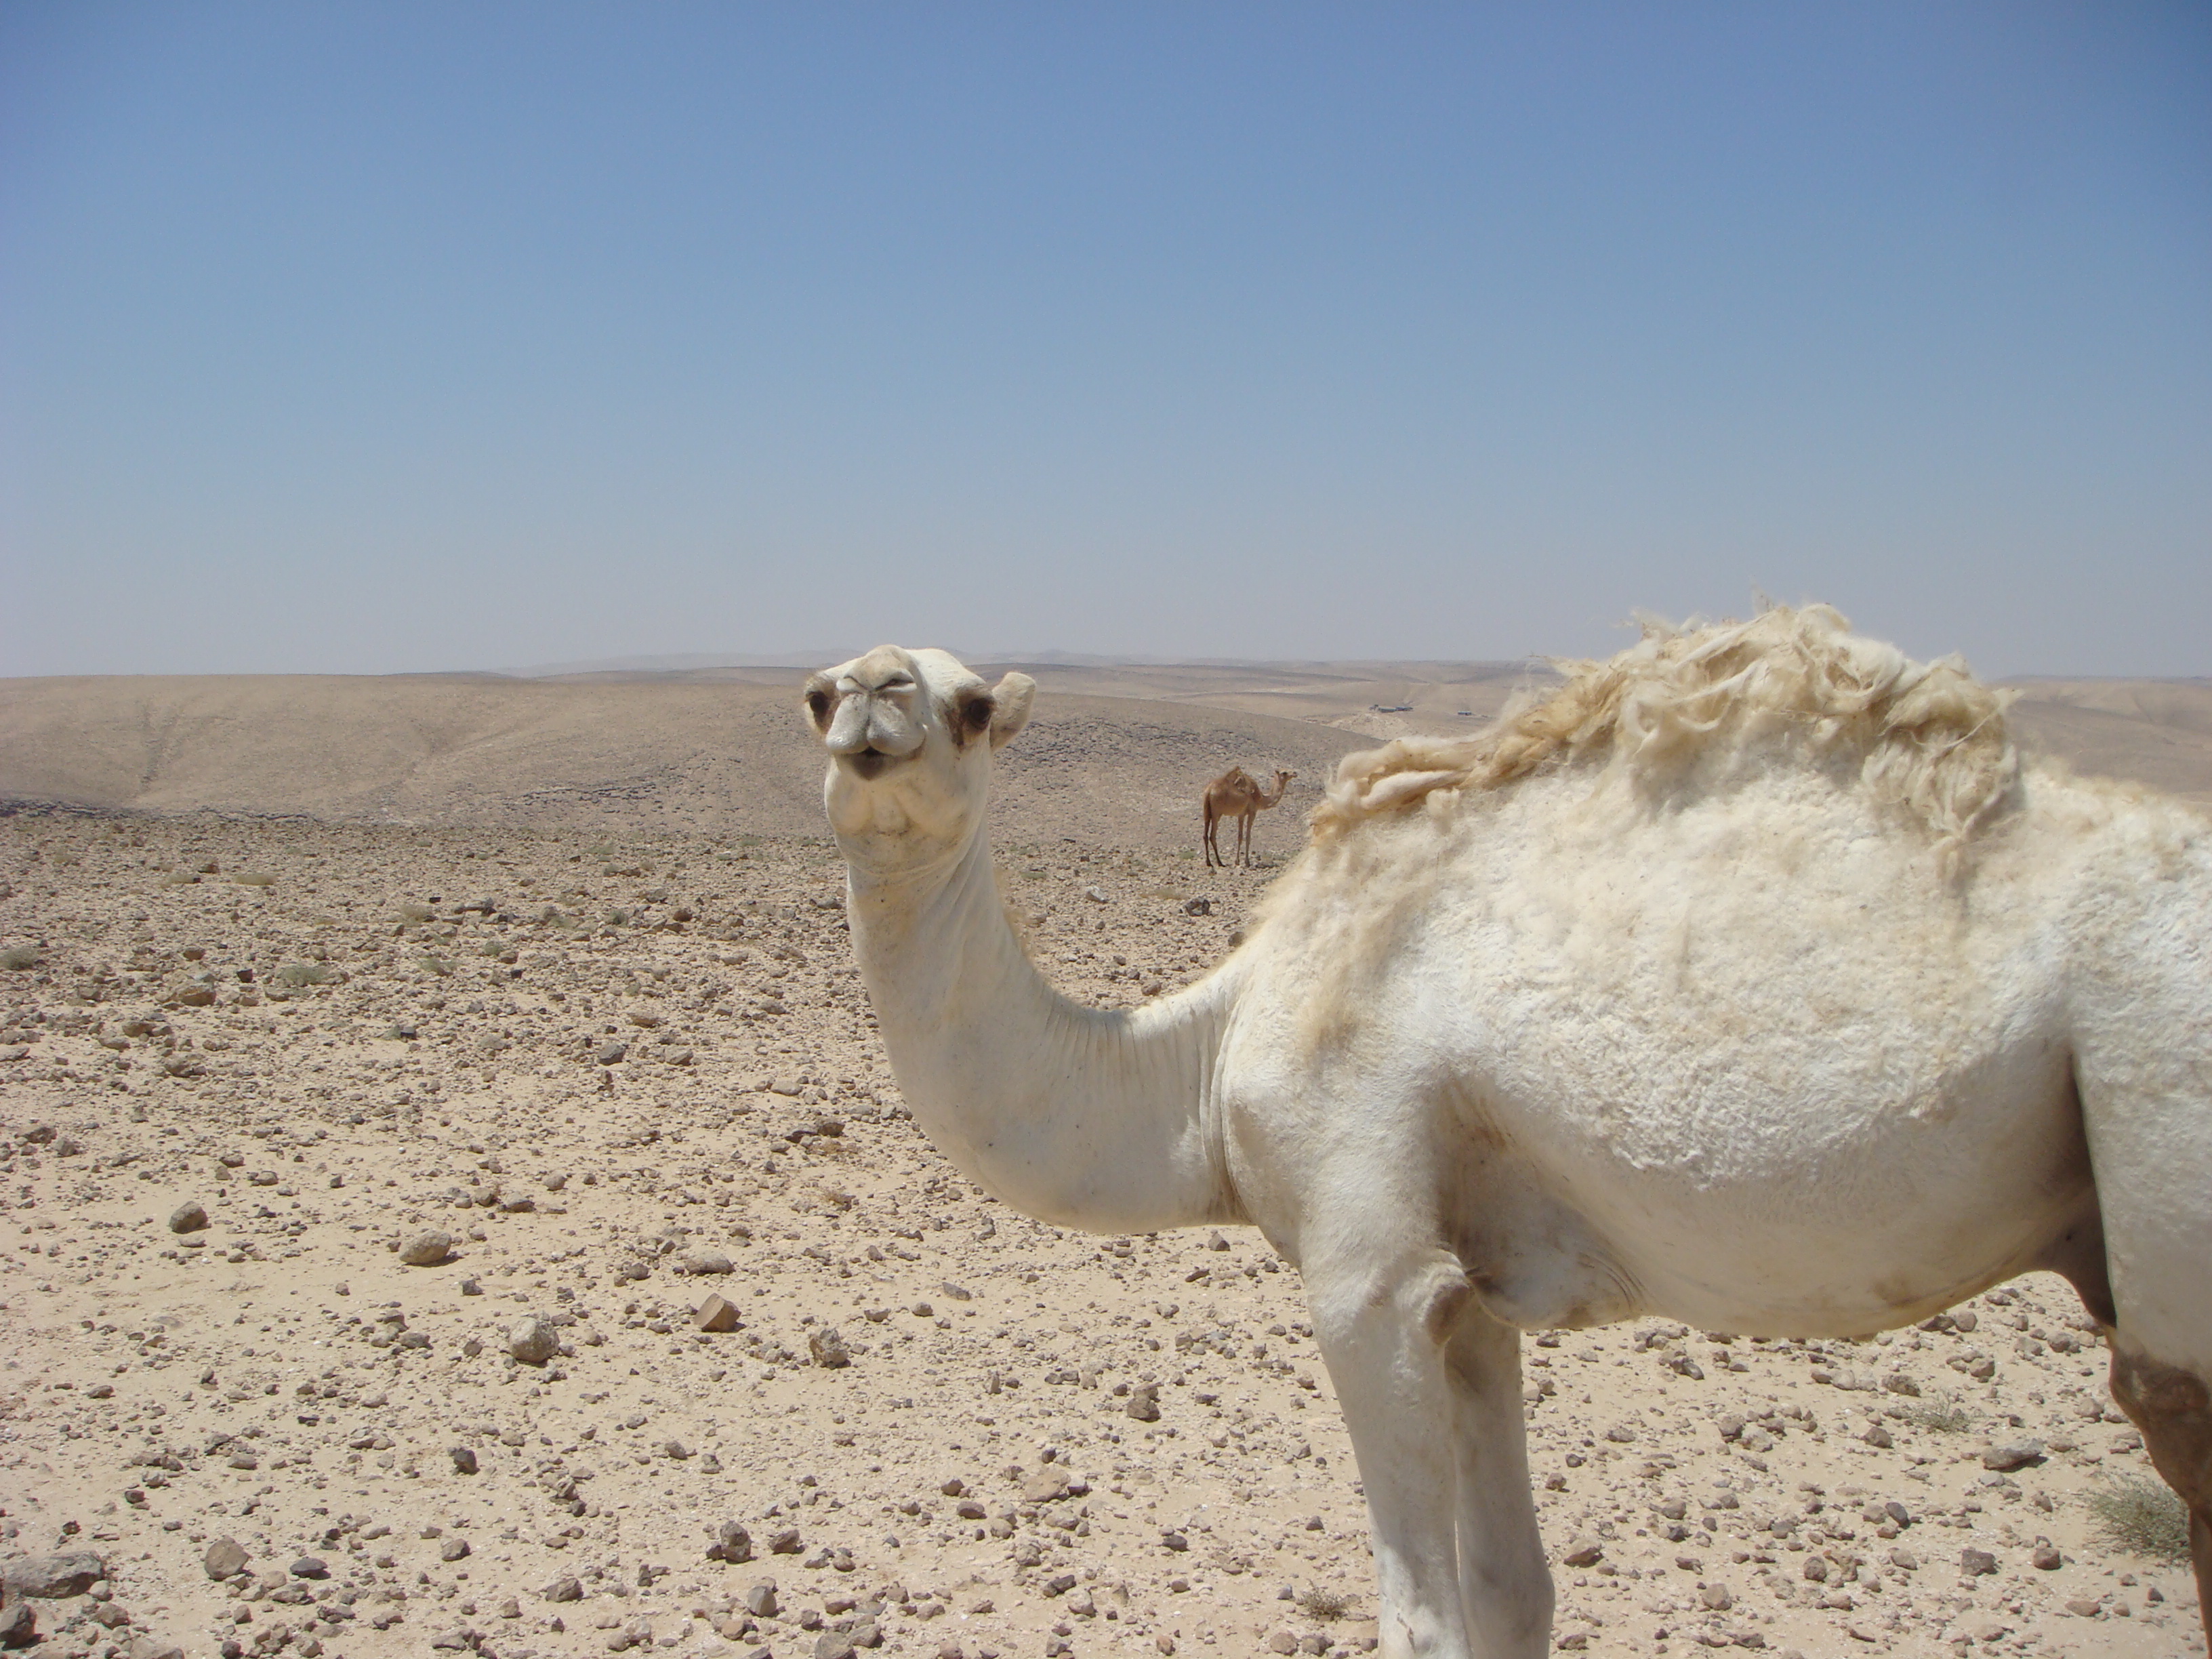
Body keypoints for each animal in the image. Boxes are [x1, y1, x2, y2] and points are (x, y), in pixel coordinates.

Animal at [1202, 764, 1297, 867]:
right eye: (1284, 773)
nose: (1295, 773)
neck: (1260, 798)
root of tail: (1209, 790)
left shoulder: (1241, 815)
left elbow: (1240, 836)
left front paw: (1238, 861)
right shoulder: (1252, 812)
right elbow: (1248, 837)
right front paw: (1246, 862)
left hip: (1207, 811)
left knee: (1205, 835)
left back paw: (1209, 862)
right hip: (1216, 812)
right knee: (1212, 836)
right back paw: (1219, 862)